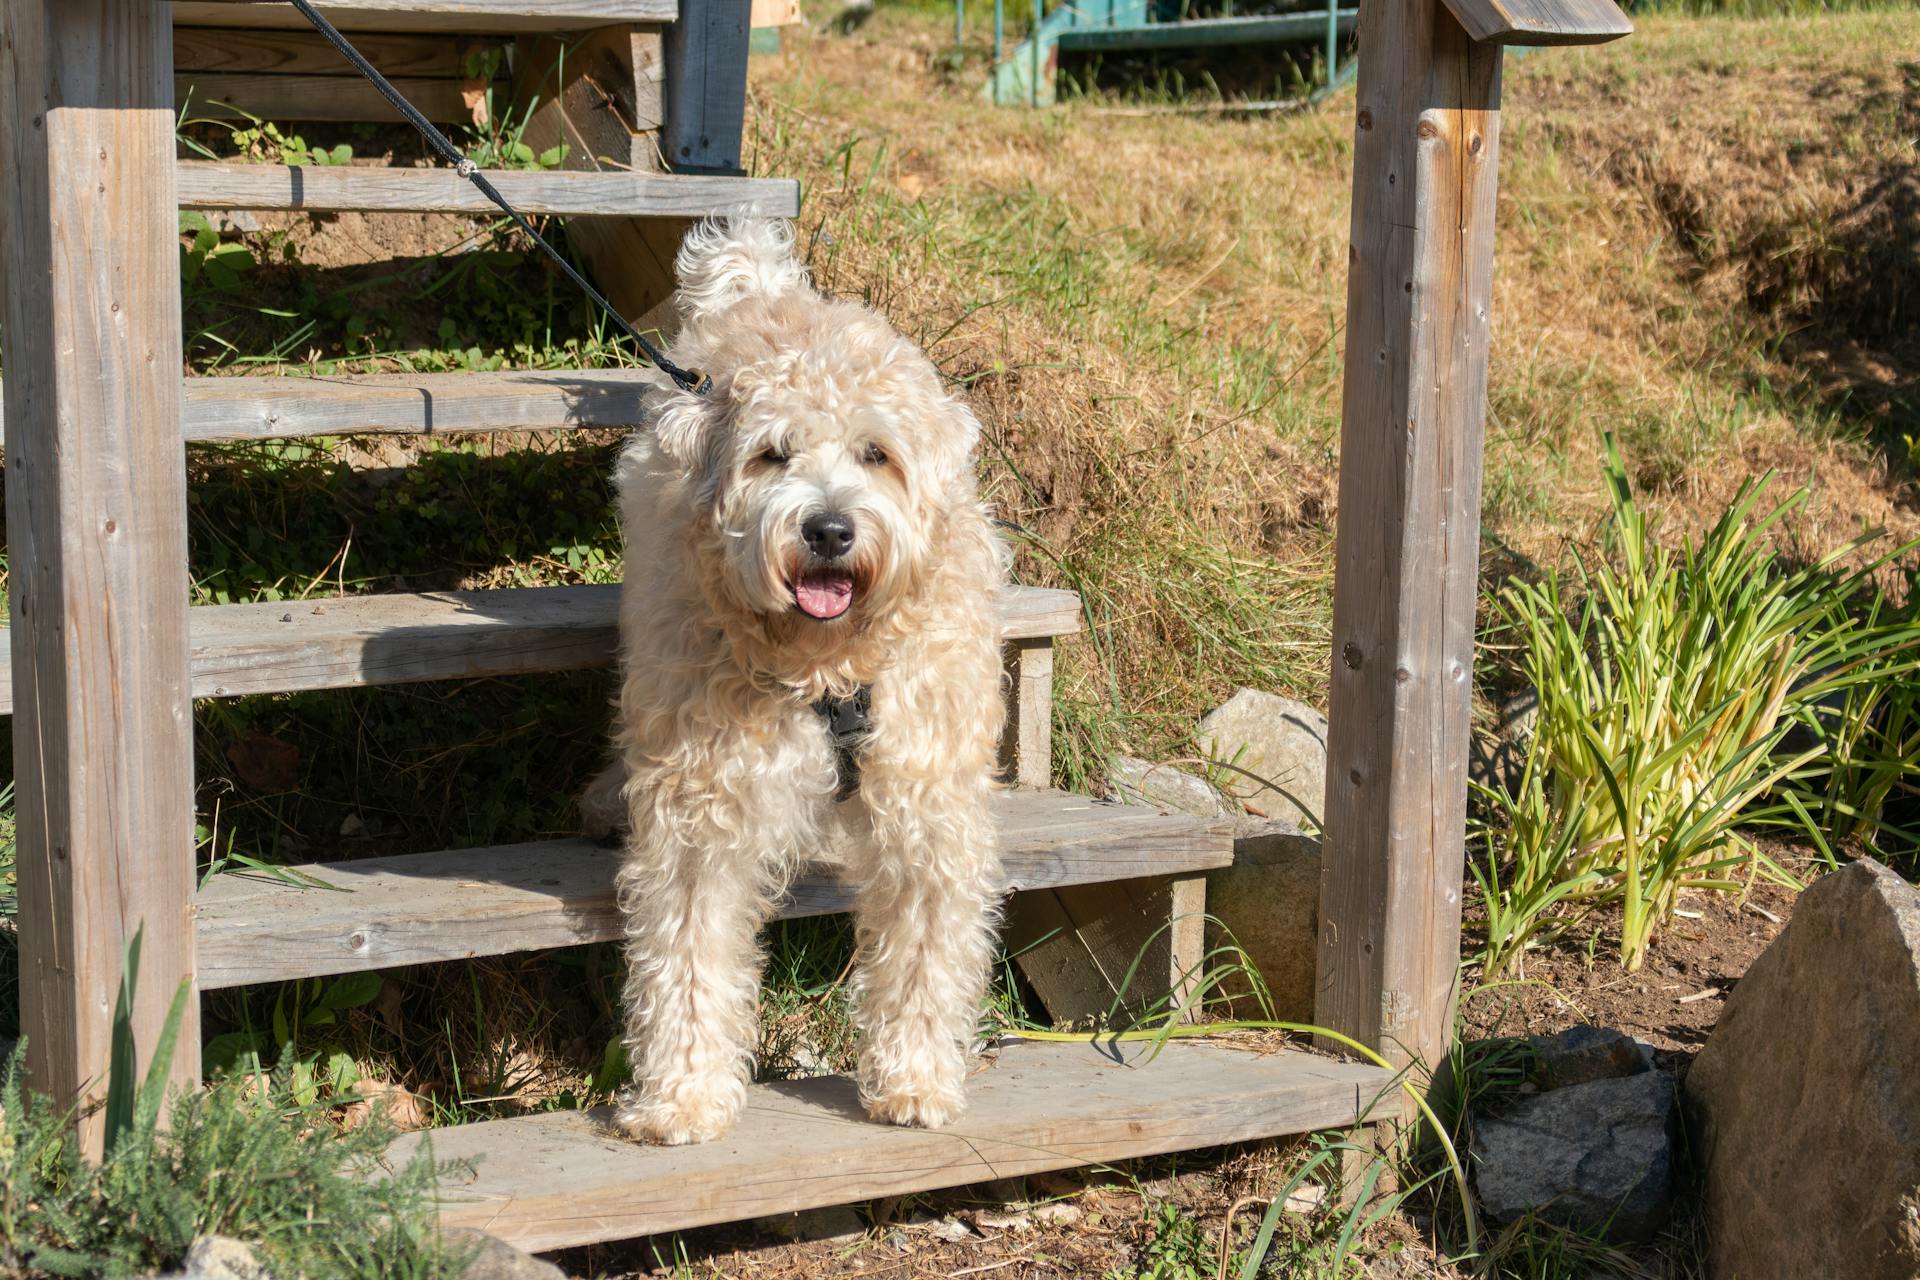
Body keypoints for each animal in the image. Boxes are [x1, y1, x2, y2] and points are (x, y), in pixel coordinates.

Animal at [579, 214, 1006, 1143]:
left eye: (877, 454)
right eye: (772, 456)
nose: (830, 529)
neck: (829, 665)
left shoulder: (928, 805)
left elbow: (924, 951)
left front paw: (915, 1078)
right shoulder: (700, 813)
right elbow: (688, 954)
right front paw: (683, 1094)